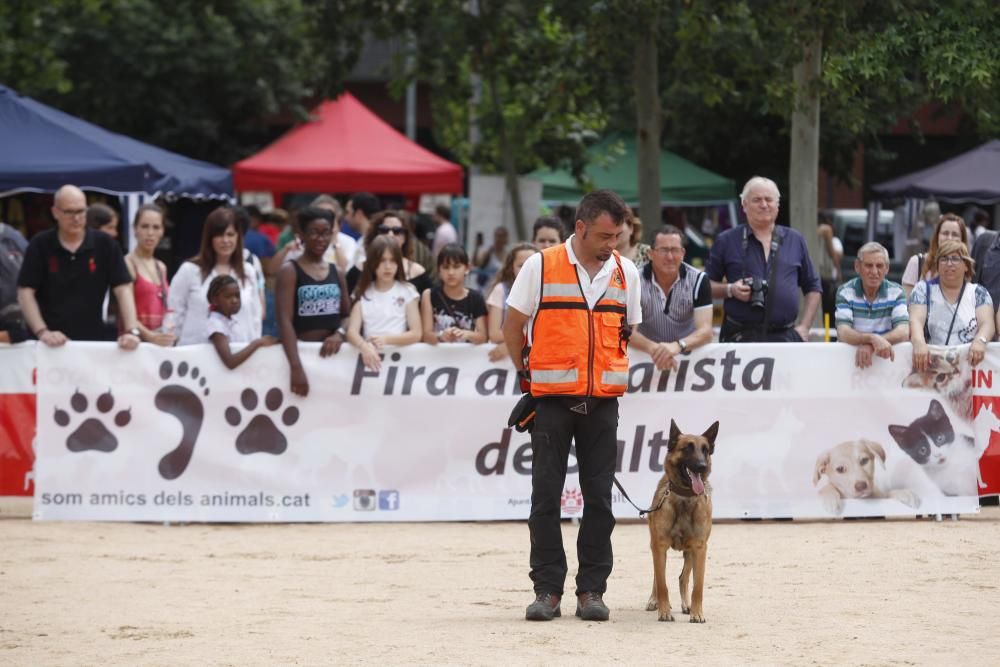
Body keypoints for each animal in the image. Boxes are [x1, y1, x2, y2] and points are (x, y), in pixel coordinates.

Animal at [648, 420, 720, 624]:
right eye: (687, 448)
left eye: (705, 450)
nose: (701, 466)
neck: (685, 498)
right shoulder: (659, 546)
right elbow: (662, 583)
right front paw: (664, 611)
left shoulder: (699, 548)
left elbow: (698, 586)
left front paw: (697, 612)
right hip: (655, 546)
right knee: (657, 576)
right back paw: (654, 600)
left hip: (689, 553)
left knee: (683, 577)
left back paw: (687, 605)